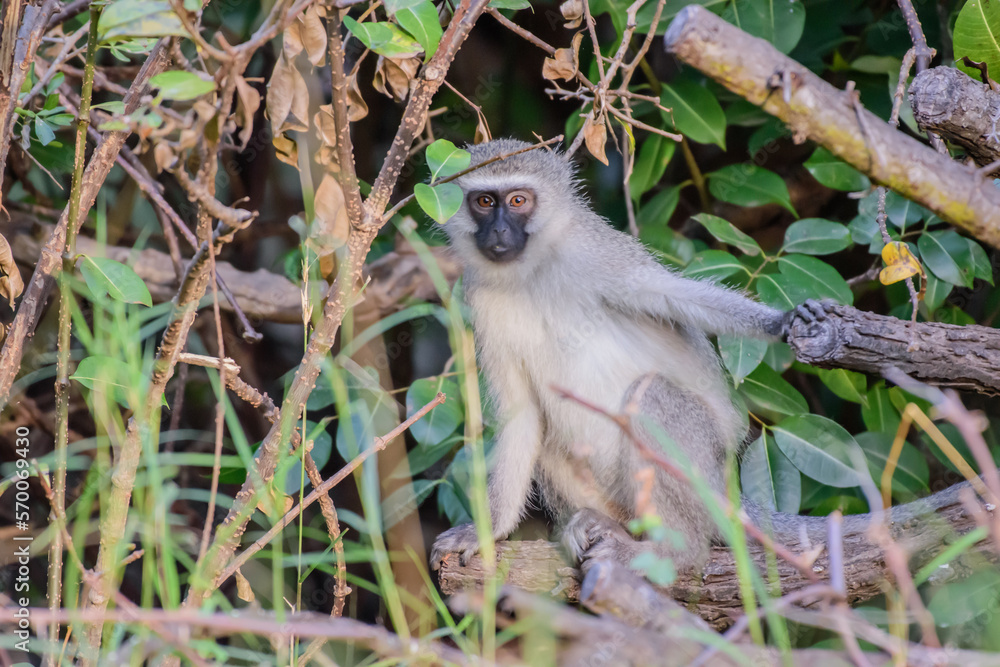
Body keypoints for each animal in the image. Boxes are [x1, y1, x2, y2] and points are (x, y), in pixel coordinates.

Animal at [427, 138, 971, 575]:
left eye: (518, 200)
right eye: (484, 202)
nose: (499, 232)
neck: (532, 271)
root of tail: (725, 486)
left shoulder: (597, 255)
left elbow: (671, 296)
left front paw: (782, 323)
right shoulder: (481, 303)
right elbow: (521, 417)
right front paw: (488, 530)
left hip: (702, 470)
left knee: (653, 399)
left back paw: (676, 552)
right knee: (547, 432)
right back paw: (606, 524)